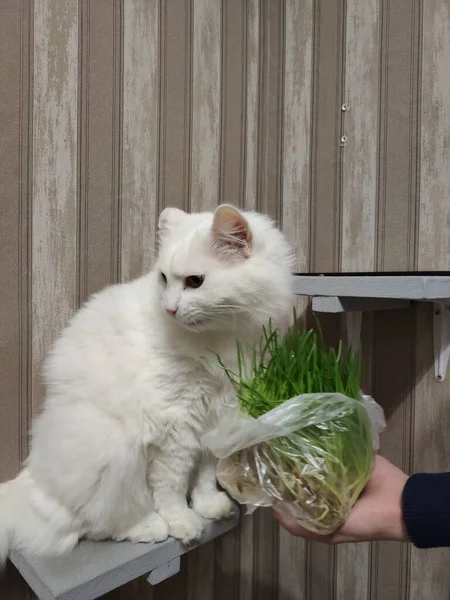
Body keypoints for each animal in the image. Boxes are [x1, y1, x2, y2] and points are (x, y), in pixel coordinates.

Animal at [0, 204, 292, 564]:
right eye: (164, 278)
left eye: (195, 282)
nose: (170, 309)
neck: (223, 339)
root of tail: (32, 483)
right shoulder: (176, 426)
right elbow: (172, 485)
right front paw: (183, 521)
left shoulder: (218, 414)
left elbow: (206, 473)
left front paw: (209, 506)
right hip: (113, 449)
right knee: (98, 526)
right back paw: (150, 526)